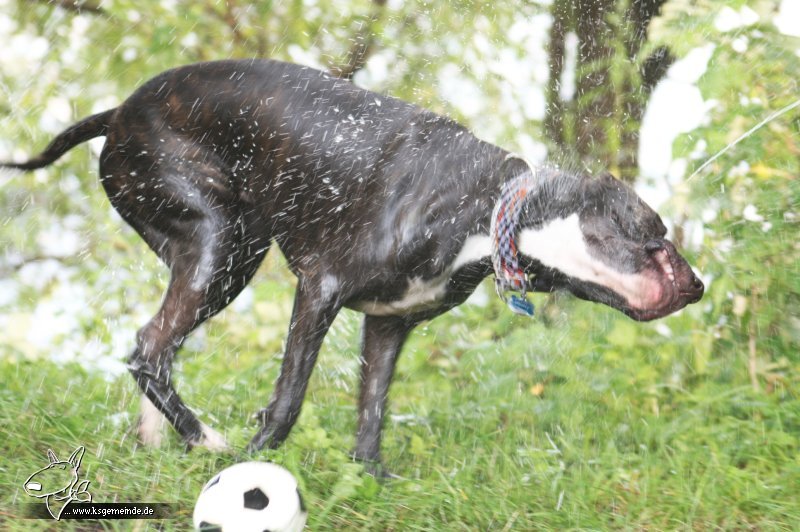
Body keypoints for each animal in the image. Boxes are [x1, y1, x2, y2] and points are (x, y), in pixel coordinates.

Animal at [0, 58, 704, 470]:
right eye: (654, 235)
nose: (698, 286)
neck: (481, 205)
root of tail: (118, 112)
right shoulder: (320, 290)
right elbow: (289, 400)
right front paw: (253, 463)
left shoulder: (389, 325)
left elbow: (373, 412)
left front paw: (369, 478)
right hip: (225, 246)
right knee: (150, 347)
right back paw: (205, 441)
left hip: (201, 254)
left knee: (158, 346)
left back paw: (164, 442)